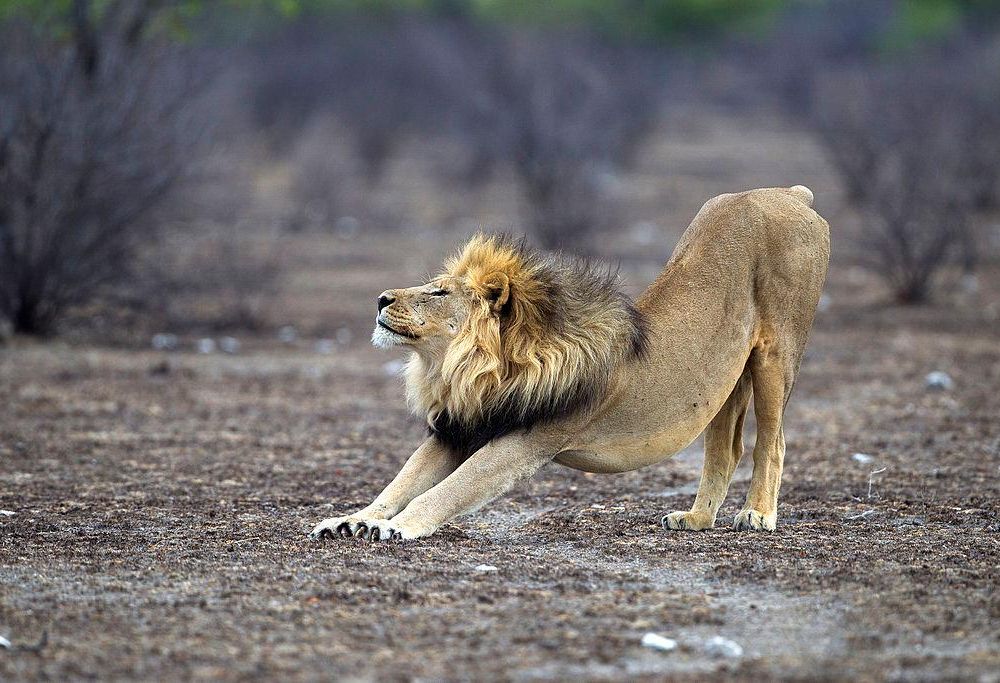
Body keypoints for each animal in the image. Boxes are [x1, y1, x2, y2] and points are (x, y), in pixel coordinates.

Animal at [310, 186, 828, 540]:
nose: (380, 298)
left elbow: (449, 490)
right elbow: (400, 483)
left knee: (773, 441)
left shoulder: (526, 441)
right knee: (725, 449)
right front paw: (352, 518)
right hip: (725, 378)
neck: (465, 371)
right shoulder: (459, 428)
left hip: (776, 354)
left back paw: (758, 514)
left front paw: (397, 527)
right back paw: (697, 518)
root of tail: (788, 192)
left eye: (438, 293)